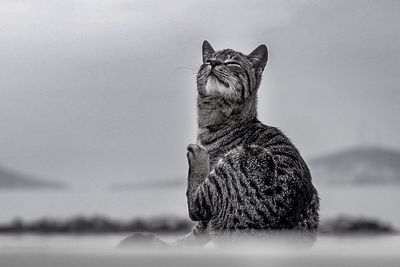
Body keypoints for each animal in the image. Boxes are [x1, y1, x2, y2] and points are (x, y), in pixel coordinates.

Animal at [117, 41, 320, 249]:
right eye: (208, 60)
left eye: (232, 63)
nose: (213, 63)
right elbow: (197, 234)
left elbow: (198, 217)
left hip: (248, 155)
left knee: (195, 205)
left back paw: (198, 156)